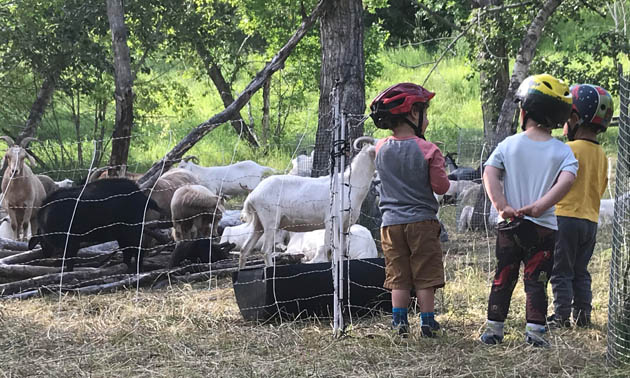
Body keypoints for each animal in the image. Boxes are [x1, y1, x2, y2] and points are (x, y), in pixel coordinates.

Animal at [29, 178, 163, 272]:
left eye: (42, 242)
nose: (46, 255)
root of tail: (143, 196)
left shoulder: (71, 242)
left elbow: (70, 262)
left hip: (131, 229)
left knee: (139, 248)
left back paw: (137, 268)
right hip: (123, 233)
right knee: (128, 251)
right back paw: (127, 267)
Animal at [237, 137, 376, 268]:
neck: (349, 185)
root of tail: (253, 195)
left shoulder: (345, 226)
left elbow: (340, 252)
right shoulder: (331, 222)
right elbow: (330, 250)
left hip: (258, 223)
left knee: (245, 250)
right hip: (270, 221)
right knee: (265, 250)